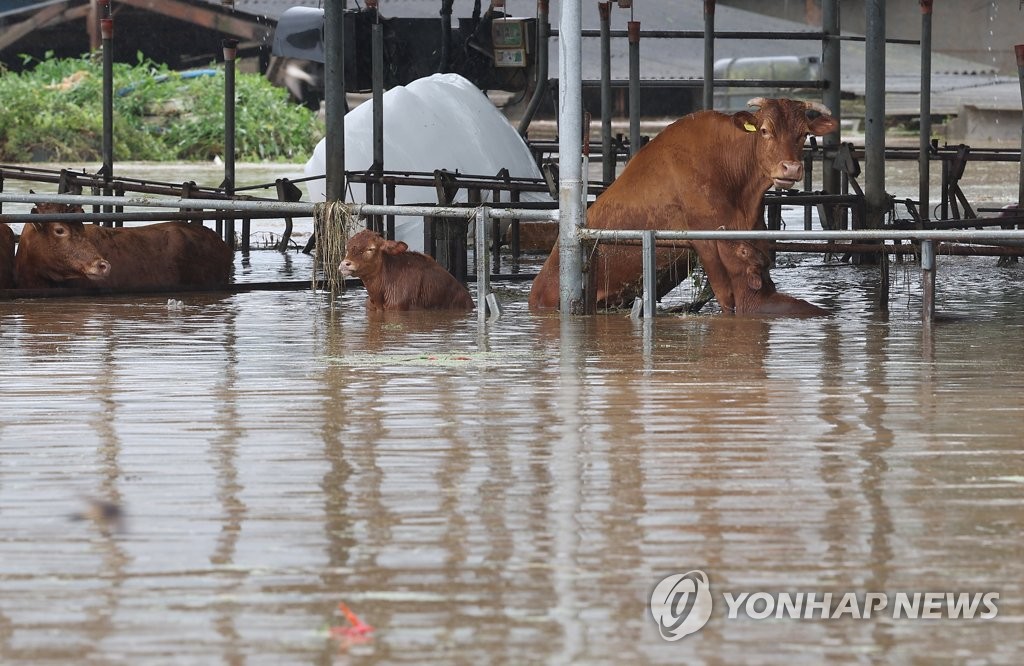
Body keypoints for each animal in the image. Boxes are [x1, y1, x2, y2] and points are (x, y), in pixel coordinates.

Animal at [528, 96, 839, 315]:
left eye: (804, 134)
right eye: (764, 130)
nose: (791, 168)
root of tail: (538, 286)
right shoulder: (706, 242)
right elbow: (727, 298)